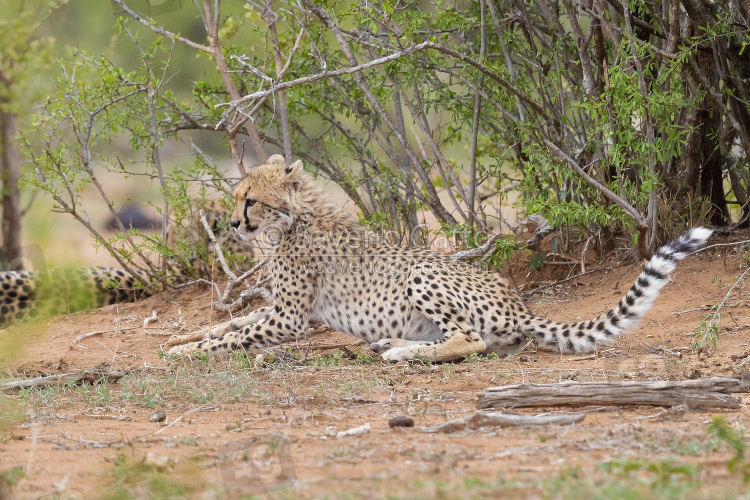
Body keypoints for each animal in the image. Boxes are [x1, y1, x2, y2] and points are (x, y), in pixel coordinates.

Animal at [170, 154, 716, 362]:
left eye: (250, 200)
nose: (233, 225)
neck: (295, 219)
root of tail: (518, 303)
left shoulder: (292, 318)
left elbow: (240, 333)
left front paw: (186, 352)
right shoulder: (282, 309)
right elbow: (235, 321)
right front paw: (187, 337)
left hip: (423, 269)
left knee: (470, 341)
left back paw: (401, 352)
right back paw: (390, 343)